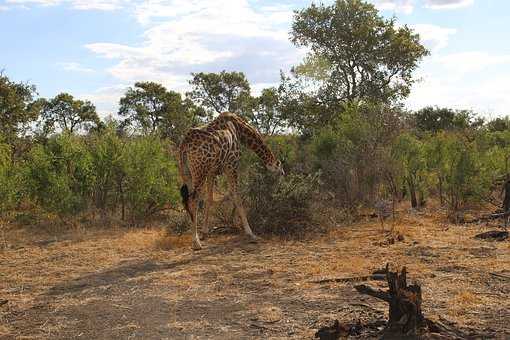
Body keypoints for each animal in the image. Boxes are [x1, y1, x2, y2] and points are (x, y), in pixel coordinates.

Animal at [178, 111, 282, 250]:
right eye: (280, 170)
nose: (283, 176)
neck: (241, 130)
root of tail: (184, 144)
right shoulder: (232, 165)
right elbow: (236, 195)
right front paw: (251, 234)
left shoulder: (211, 171)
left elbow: (210, 198)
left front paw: (205, 232)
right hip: (200, 170)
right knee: (193, 199)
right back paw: (196, 243)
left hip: (186, 172)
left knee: (188, 200)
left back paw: (195, 237)